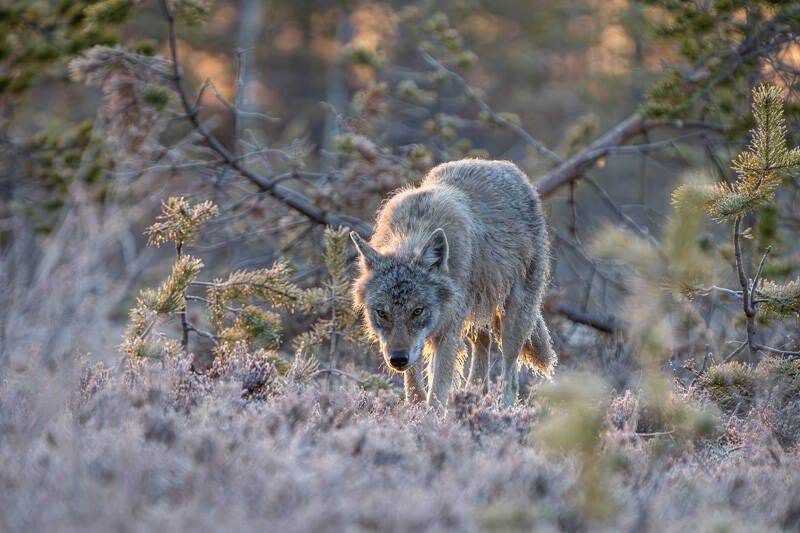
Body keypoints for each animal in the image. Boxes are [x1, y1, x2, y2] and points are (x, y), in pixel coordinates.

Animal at [350, 159, 556, 412]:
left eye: (417, 311)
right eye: (381, 312)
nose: (397, 359)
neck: (414, 231)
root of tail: (508, 168)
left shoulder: (446, 333)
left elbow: (437, 392)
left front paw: (430, 419)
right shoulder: (419, 344)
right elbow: (413, 386)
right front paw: (415, 411)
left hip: (514, 320)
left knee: (511, 378)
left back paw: (503, 412)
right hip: (476, 318)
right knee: (483, 349)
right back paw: (473, 399)